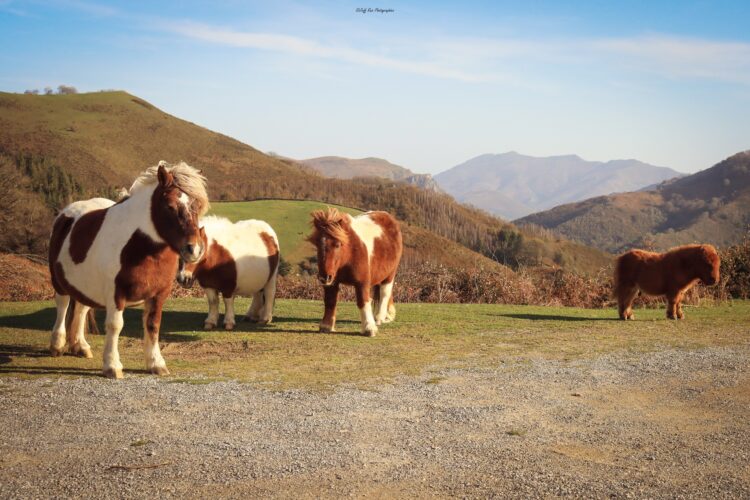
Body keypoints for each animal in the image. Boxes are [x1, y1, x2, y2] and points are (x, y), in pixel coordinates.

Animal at [48, 162, 209, 376]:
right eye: (170, 206)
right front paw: (112, 366)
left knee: (81, 309)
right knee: (63, 305)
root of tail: (65, 214)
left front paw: (156, 363)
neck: (139, 246)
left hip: (85, 286)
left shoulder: (158, 294)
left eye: (197, 206)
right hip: (59, 282)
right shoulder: (116, 293)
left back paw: (80, 346)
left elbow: (153, 325)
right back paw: (57, 345)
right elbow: (115, 325)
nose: (194, 249)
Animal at [306, 207, 402, 336]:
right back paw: (388, 316)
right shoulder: (332, 283)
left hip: (390, 275)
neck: (349, 254)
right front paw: (326, 326)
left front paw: (369, 328)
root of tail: (389, 217)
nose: (324, 277)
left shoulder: (362, 282)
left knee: (385, 293)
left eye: (337, 244)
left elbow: (363, 302)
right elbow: (330, 301)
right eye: (317, 244)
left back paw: (379, 318)